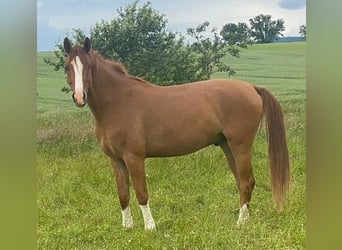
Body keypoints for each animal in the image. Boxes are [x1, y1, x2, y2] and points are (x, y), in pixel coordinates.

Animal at [63, 37, 288, 230]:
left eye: (89, 67)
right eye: (67, 67)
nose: (79, 97)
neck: (118, 103)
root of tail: (252, 87)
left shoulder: (134, 158)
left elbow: (142, 193)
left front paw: (150, 227)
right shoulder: (116, 160)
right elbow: (123, 194)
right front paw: (127, 227)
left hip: (240, 146)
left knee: (247, 181)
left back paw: (241, 223)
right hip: (227, 146)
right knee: (242, 182)